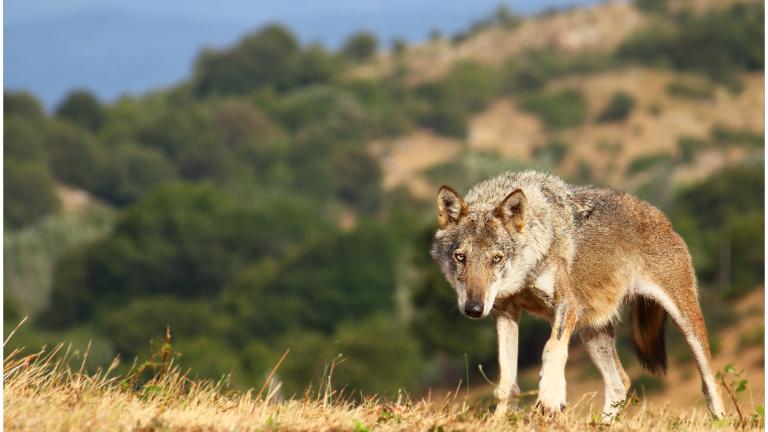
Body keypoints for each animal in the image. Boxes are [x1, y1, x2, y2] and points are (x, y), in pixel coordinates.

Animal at [432, 170, 728, 420]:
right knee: (620, 382)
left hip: (687, 324)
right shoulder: (505, 312)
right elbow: (506, 380)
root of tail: (662, 218)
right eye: (460, 257)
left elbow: (551, 348)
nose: (473, 308)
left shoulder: (566, 304)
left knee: (709, 381)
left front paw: (551, 396)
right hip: (592, 332)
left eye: (496, 259)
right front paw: (499, 420)